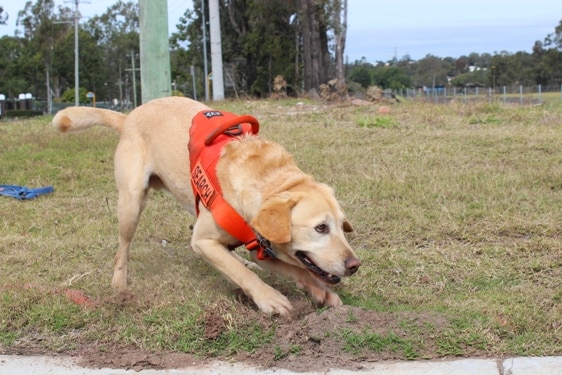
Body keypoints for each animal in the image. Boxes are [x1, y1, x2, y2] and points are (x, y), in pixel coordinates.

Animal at [52, 97, 358, 318]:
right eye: (320, 228)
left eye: (343, 227)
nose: (355, 265)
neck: (267, 182)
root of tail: (130, 117)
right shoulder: (202, 241)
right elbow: (243, 275)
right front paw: (270, 299)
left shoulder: (262, 248)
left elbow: (297, 270)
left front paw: (319, 292)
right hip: (131, 202)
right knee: (122, 249)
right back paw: (119, 285)